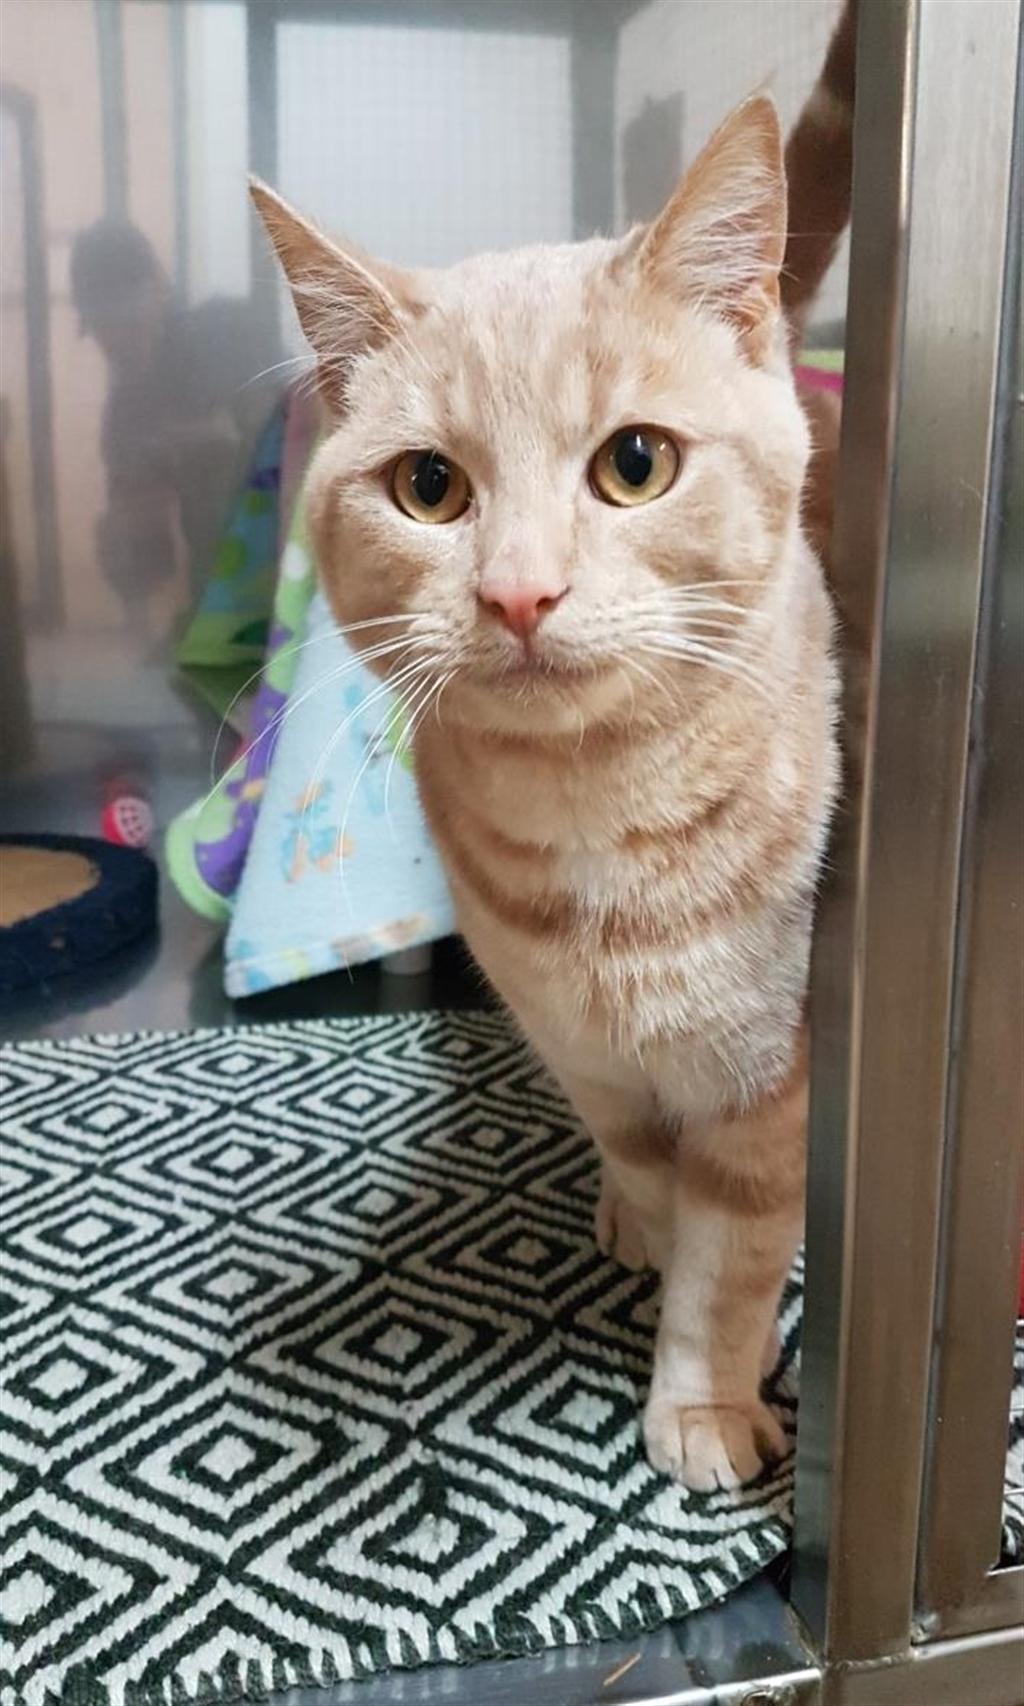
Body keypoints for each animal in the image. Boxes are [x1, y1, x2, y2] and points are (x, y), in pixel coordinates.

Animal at [251, 0, 855, 1491]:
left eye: (635, 463)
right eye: (428, 487)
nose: (519, 594)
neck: (599, 827)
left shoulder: (772, 1074)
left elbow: (733, 1255)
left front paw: (705, 1394)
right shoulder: (583, 1052)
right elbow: (648, 1168)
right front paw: (646, 1225)